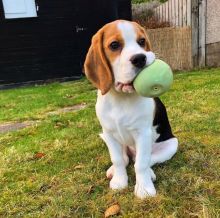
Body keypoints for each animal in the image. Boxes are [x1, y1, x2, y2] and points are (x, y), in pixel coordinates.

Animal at [83, 20, 178, 199]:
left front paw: (144, 189)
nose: (140, 58)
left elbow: (141, 163)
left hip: (171, 144)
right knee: (127, 159)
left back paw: (150, 174)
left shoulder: (143, 133)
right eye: (114, 45)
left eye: (141, 41)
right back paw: (113, 170)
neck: (121, 98)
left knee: (144, 160)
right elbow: (118, 160)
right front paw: (119, 181)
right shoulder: (109, 134)